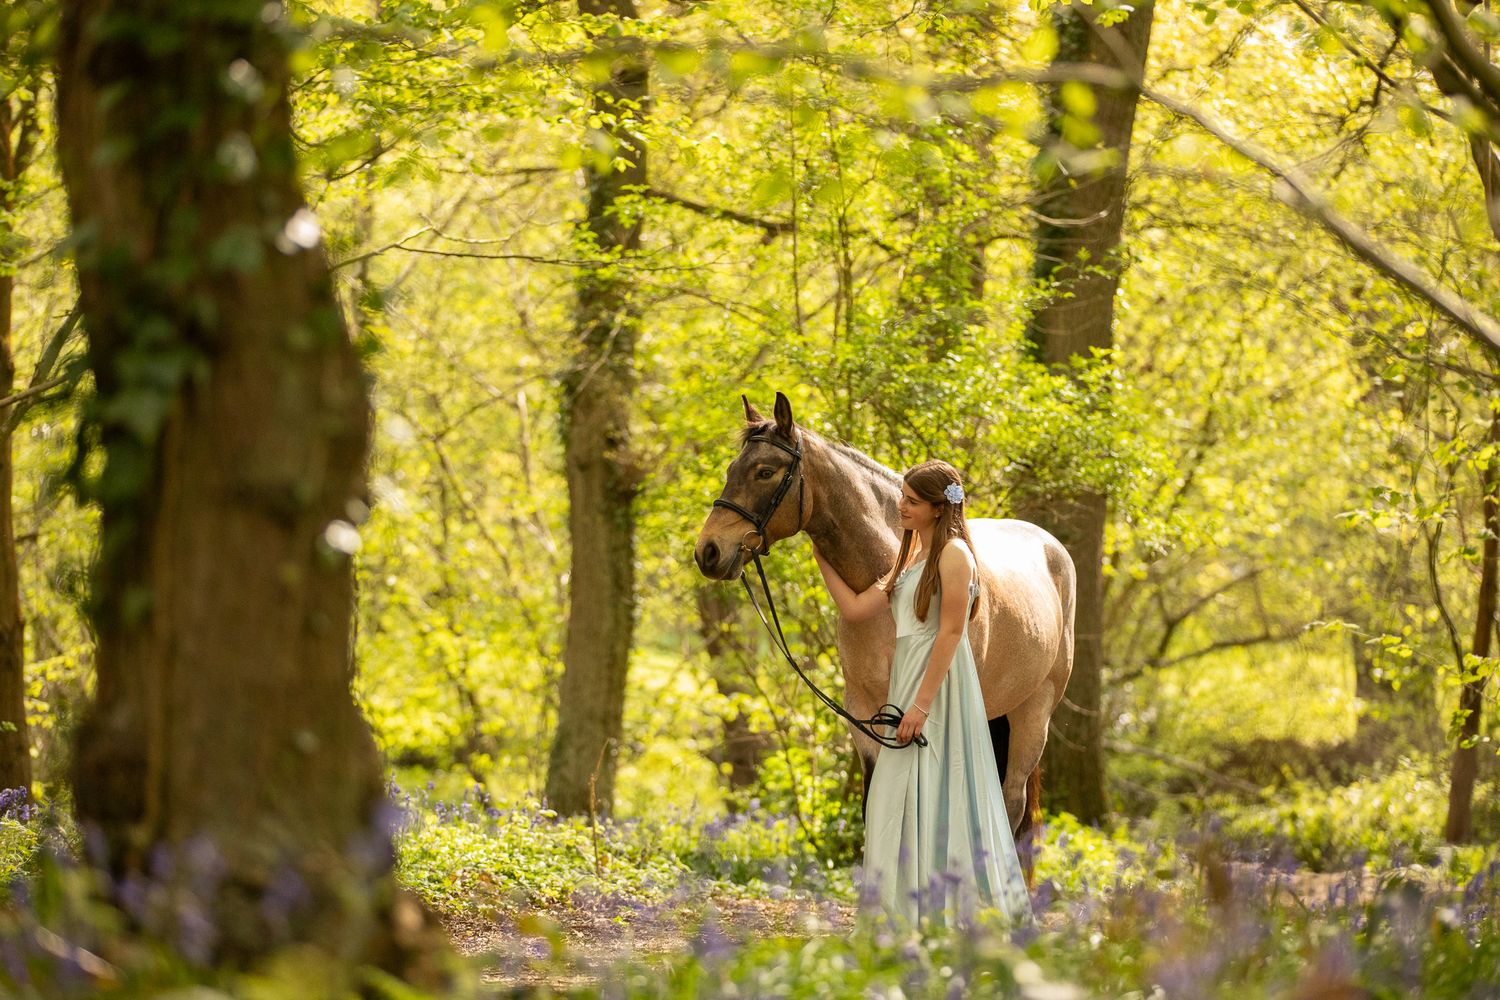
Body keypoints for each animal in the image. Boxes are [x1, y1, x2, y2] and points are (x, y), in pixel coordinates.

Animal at [693, 392, 1076, 853]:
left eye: (765, 472)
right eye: (732, 469)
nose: (708, 551)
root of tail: (1052, 547)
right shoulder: (865, 712)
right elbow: (875, 803)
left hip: (1032, 713)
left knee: (1010, 804)